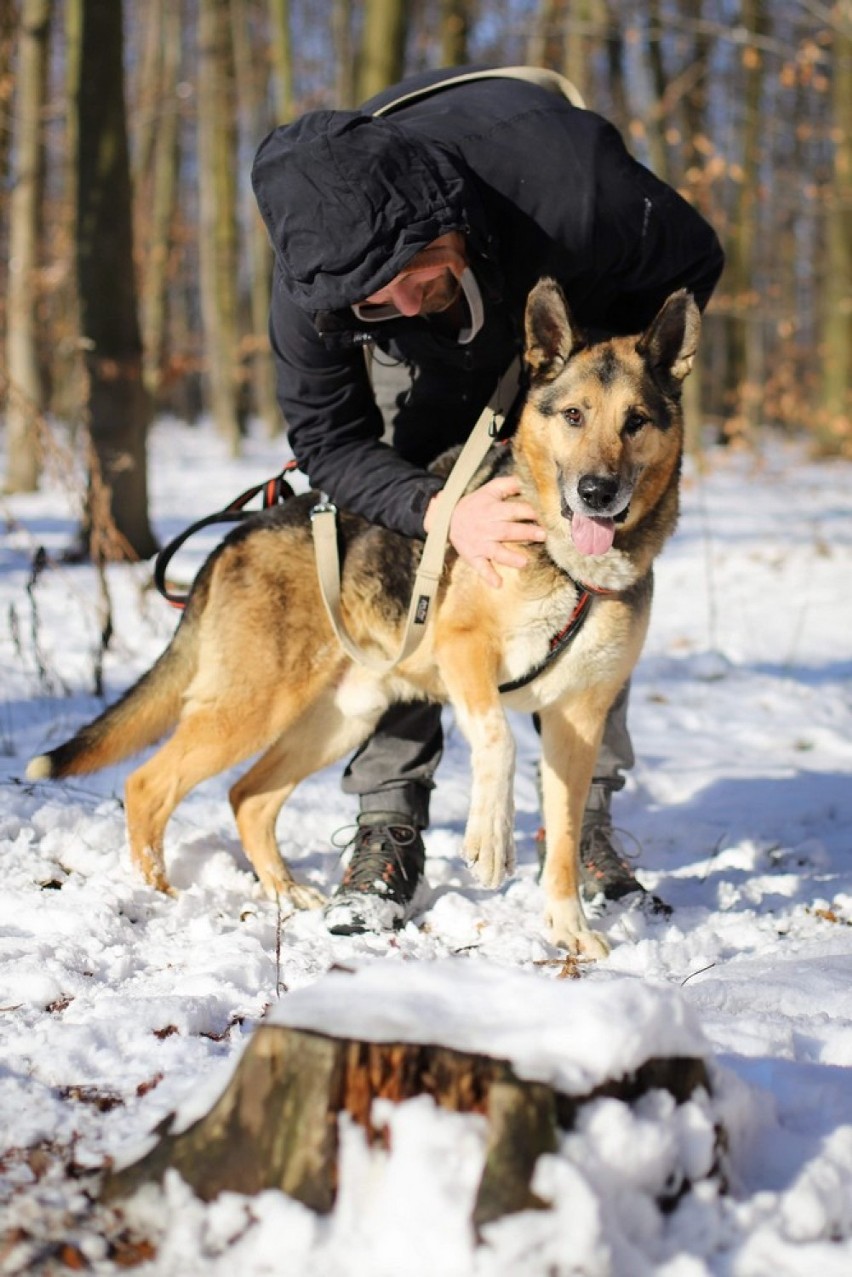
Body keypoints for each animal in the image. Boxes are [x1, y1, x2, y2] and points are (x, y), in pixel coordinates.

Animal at [28, 279, 699, 960]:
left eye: (635, 422)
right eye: (573, 416)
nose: (597, 492)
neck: (567, 564)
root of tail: (239, 535)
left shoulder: (578, 719)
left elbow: (564, 835)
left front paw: (568, 927)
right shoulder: (465, 652)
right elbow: (498, 740)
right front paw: (490, 839)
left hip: (340, 718)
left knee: (247, 797)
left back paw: (285, 891)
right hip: (253, 707)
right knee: (148, 784)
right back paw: (161, 893)